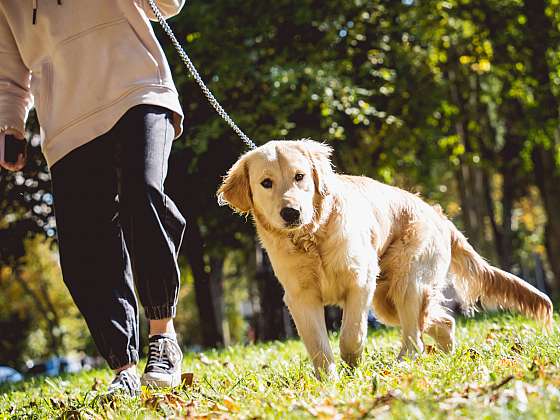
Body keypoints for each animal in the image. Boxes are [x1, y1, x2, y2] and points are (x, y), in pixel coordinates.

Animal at [217, 140, 552, 378]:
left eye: (299, 177)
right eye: (266, 183)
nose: (291, 212)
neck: (312, 236)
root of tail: (439, 215)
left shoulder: (360, 282)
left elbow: (351, 335)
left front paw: (352, 366)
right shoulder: (300, 297)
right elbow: (318, 344)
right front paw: (329, 381)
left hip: (406, 285)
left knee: (415, 338)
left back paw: (402, 366)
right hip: (387, 301)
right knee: (442, 322)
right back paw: (446, 356)